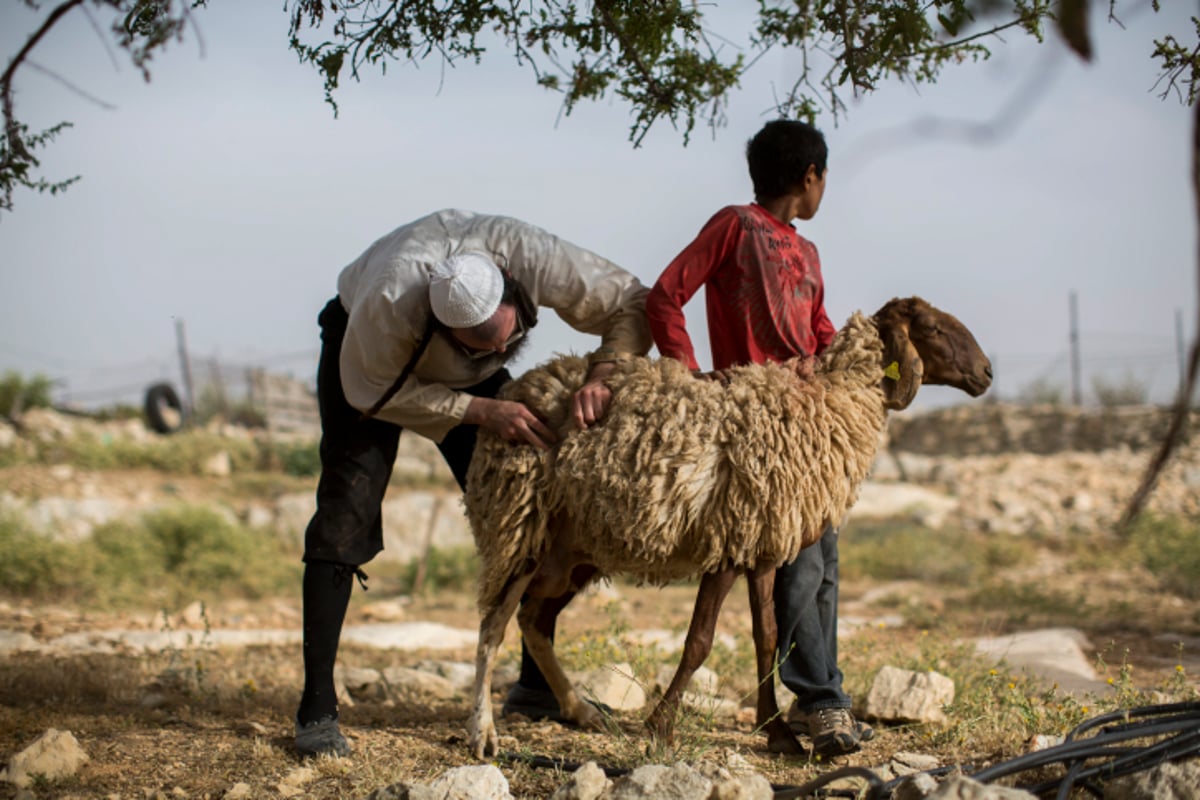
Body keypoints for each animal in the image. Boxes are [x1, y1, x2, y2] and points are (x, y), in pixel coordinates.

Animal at [458, 293, 993, 758]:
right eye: (933, 328)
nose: (987, 372)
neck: (830, 400)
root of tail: (519, 388)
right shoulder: (731, 542)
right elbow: (700, 641)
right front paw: (661, 726)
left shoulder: (761, 546)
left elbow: (768, 638)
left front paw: (778, 733)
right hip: (519, 525)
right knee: (492, 627)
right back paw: (484, 733)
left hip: (572, 551)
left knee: (534, 620)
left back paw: (580, 710)